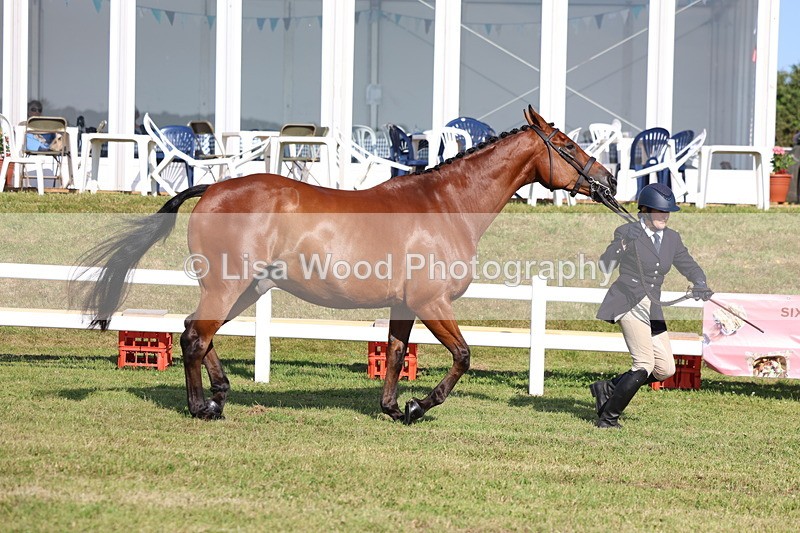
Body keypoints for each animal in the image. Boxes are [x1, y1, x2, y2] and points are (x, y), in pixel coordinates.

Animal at [80, 106, 617, 424]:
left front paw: (393, 408)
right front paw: (418, 406)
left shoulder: (406, 305)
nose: (609, 180)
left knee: (198, 330)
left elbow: (396, 355)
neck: (446, 204)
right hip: (229, 285)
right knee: (194, 335)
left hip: (244, 289)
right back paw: (202, 407)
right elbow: (463, 356)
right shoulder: (432, 302)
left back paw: (220, 393)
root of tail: (212, 188)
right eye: (567, 145)